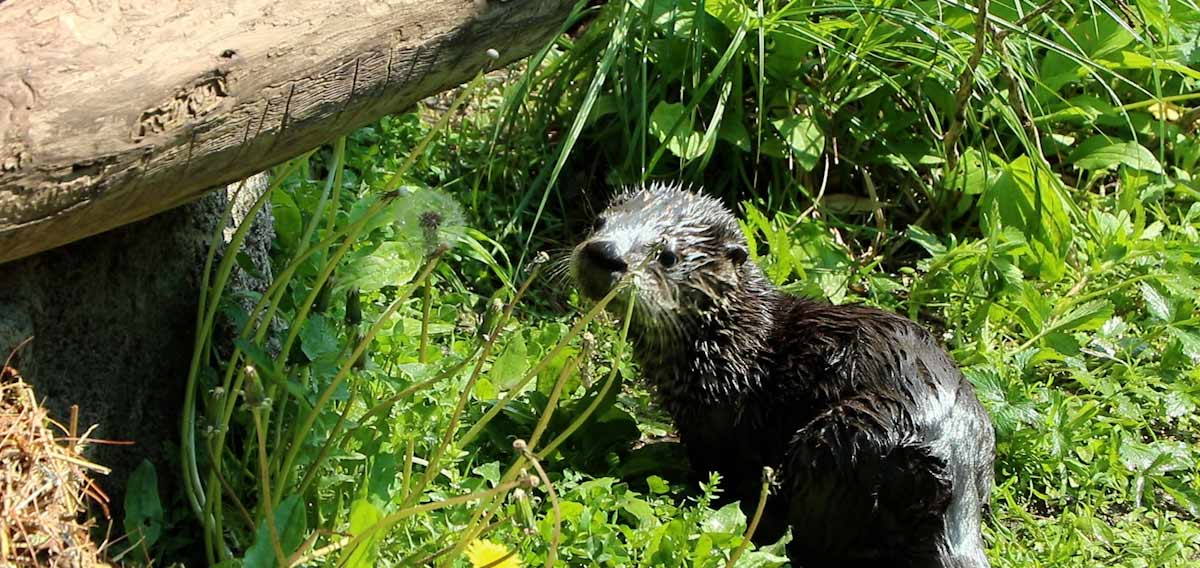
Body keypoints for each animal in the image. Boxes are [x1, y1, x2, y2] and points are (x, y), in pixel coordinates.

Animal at [571, 184, 994, 568]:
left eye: (668, 256)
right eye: (598, 222)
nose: (604, 253)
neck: (734, 342)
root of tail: (952, 455)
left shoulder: (715, 423)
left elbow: (716, 470)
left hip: (839, 440)